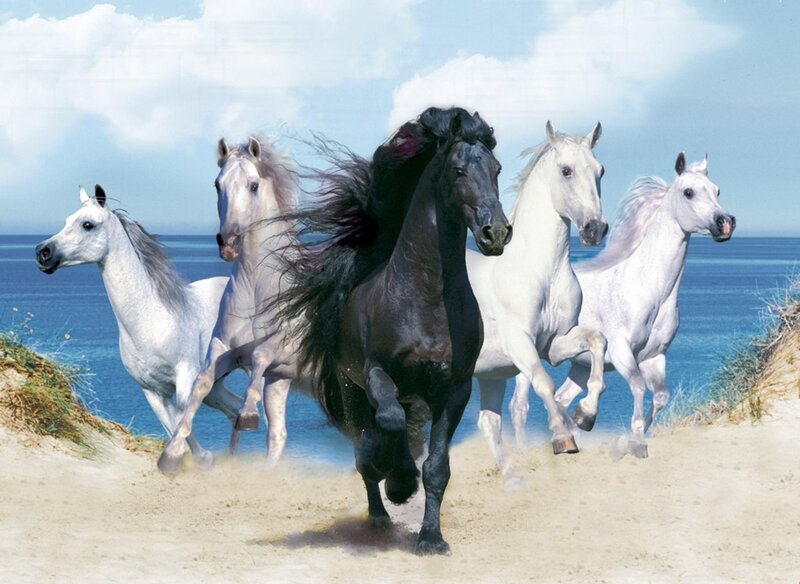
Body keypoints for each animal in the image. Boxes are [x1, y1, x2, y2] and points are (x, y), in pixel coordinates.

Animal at [35, 185, 243, 464]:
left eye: (87, 224)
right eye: (67, 220)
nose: (42, 252)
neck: (151, 319)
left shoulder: (185, 378)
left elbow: (183, 424)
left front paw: (203, 458)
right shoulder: (152, 391)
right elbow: (173, 428)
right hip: (215, 385)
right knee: (237, 409)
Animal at [158, 136, 300, 473]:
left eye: (253, 185)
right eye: (217, 184)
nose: (229, 244)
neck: (259, 287)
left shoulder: (282, 344)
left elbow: (261, 355)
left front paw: (247, 414)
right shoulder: (227, 349)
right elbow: (202, 382)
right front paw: (171, 454)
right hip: (281, 382)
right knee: (278, 434)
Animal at [275, 107, 511, 555]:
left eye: (496, 169)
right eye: (458, 170)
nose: (497, 232)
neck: (427, 300)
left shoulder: (455, 390)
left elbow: (437, 468)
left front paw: (431, 538)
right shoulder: (376, 374)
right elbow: (387, 424)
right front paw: (399, 482)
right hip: (352, 390)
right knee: (369, 439)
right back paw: (381, 510)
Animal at [470, 121, 608, 483]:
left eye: (600, 170)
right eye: (566, 170)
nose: (595, 229)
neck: (541, 271)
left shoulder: (555, 344)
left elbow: (597, 341)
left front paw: (586, 415)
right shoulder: (520, 342)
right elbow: (543, 382)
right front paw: (563, 438)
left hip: (489, 375)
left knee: (488, 422)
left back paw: (511, 478)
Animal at [514, 152, 736, 459]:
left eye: (717, 190)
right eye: (688, 192)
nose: (725, 222)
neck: (649, 289)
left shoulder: (655, 357)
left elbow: (660, 397)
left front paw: (627, 437)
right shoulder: (622, 353)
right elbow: (638, 387)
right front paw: (632, 441)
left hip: (579, 365)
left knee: (560, 397)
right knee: (519, 406)